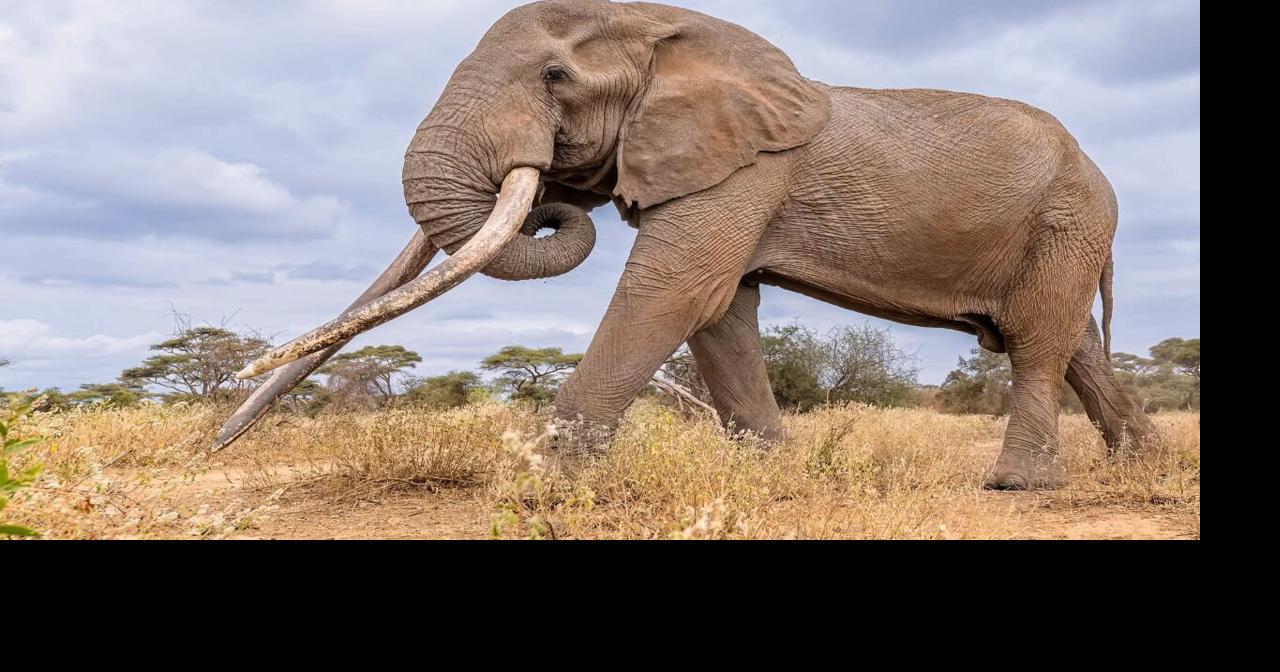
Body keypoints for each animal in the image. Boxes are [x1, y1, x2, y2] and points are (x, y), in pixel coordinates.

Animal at [217, 0, 1156, 490]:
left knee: (1036, 340)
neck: (663, 25)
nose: (211, 441)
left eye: (554, 78)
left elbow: (675, 291)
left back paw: (1020, 487)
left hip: (1070, 218)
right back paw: (1145, 461)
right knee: (1075, 344)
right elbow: (720, 311)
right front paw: (772, 477)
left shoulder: (745, 171)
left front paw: (542, 478)